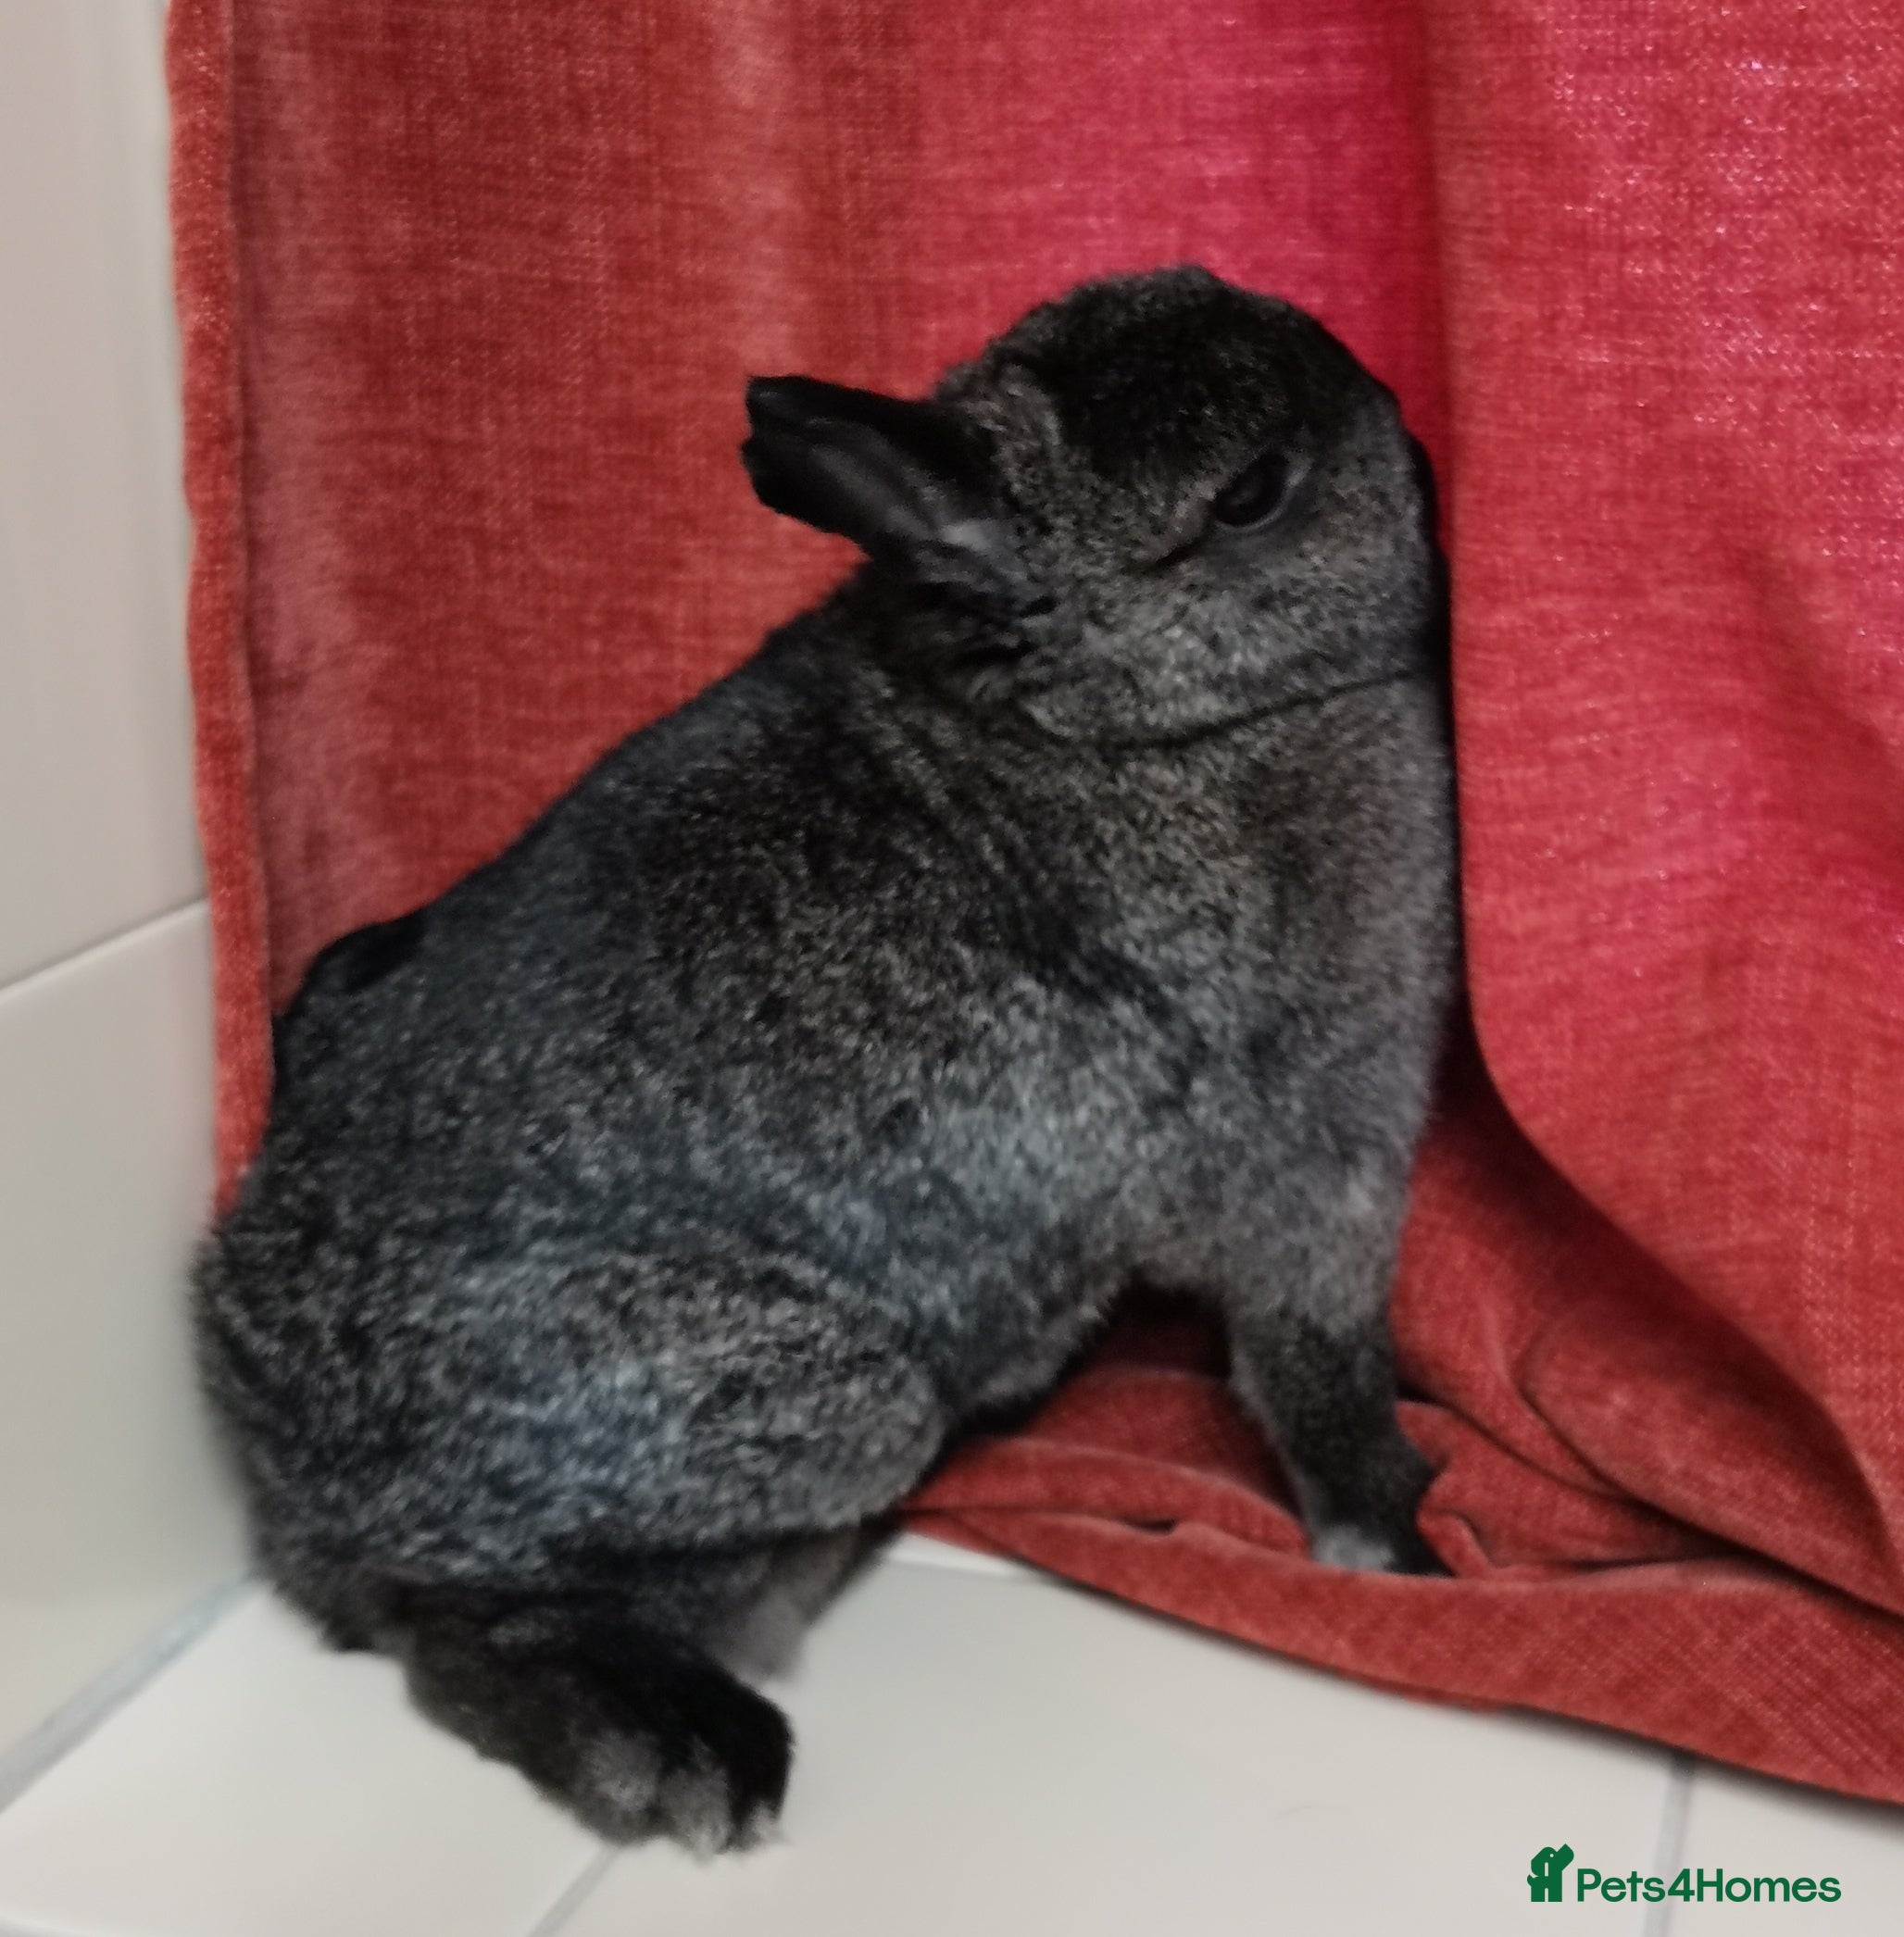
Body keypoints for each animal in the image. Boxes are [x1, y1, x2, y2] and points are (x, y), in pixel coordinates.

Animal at [195, 264, 1459, 1853]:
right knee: (458, 1624)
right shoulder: (1314, 1136)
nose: (1422, 446)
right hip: (837, 1405)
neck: (1127, 718)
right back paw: (691, 1753)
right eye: (1251, 492)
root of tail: (282, 1463)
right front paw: (1404, 1541)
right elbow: (1317, 1362)